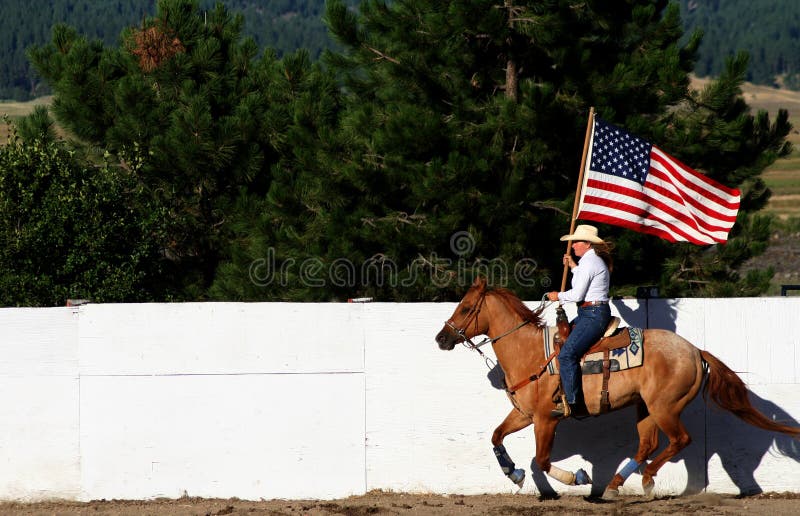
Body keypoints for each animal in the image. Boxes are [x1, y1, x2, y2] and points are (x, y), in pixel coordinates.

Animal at [438, 276, 800, 498]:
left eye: (466, 308)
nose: (441, 338)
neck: (529, 352)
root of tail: (695, 351)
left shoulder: (545, 419)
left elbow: (541, 459)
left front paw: (577, 478)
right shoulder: (524, 414)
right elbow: (497, 437)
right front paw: (513, 473)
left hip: (664, 407)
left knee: (678, 440)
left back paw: (646, 478)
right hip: (645, 408)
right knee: (647, 444)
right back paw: (615, 485)